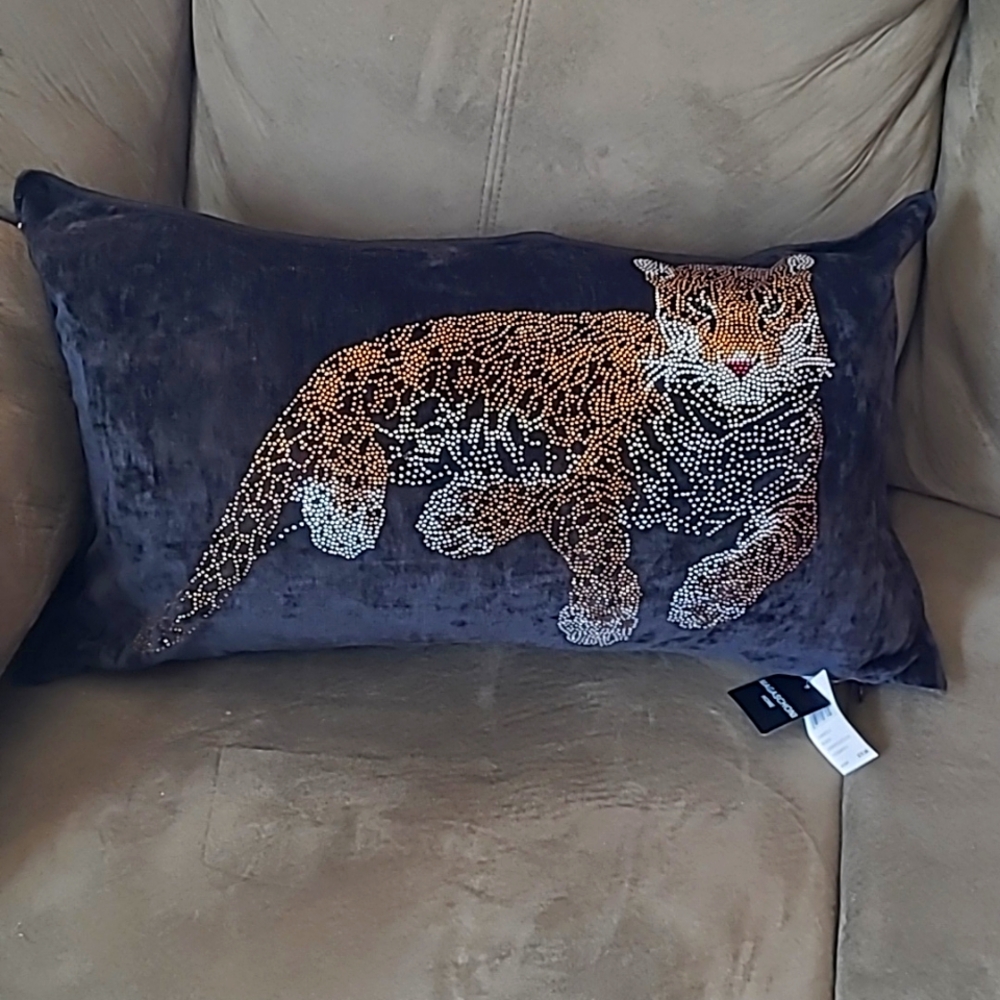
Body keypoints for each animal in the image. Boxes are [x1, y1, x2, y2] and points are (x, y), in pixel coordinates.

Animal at [139, 253, 834, 654]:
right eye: (698, 313)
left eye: (773, 310)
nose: (739, 363)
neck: (728, 429)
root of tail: (345, 355)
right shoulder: (593, 481)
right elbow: (599, 544)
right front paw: (601, 616)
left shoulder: (797, 502)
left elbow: (782, 550)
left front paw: (710, 597)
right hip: (407, 395)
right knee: (334, 443)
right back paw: (348, 514)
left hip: (441, 442)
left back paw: (446, 513)